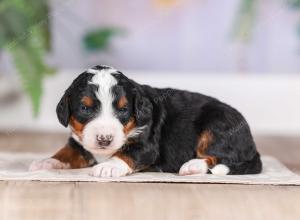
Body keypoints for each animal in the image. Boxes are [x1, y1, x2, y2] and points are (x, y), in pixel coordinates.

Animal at [29, 65, 262, 177]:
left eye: (123, 110)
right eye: (85, 108)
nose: (104, 139)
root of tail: (252, 143)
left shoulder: (147, 146)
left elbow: (127, 153)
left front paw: (108, 167)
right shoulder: (79, 142)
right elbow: (67, 151)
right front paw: (47, 162)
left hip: (216, 126)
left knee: (221, 158)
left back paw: (192, 166)